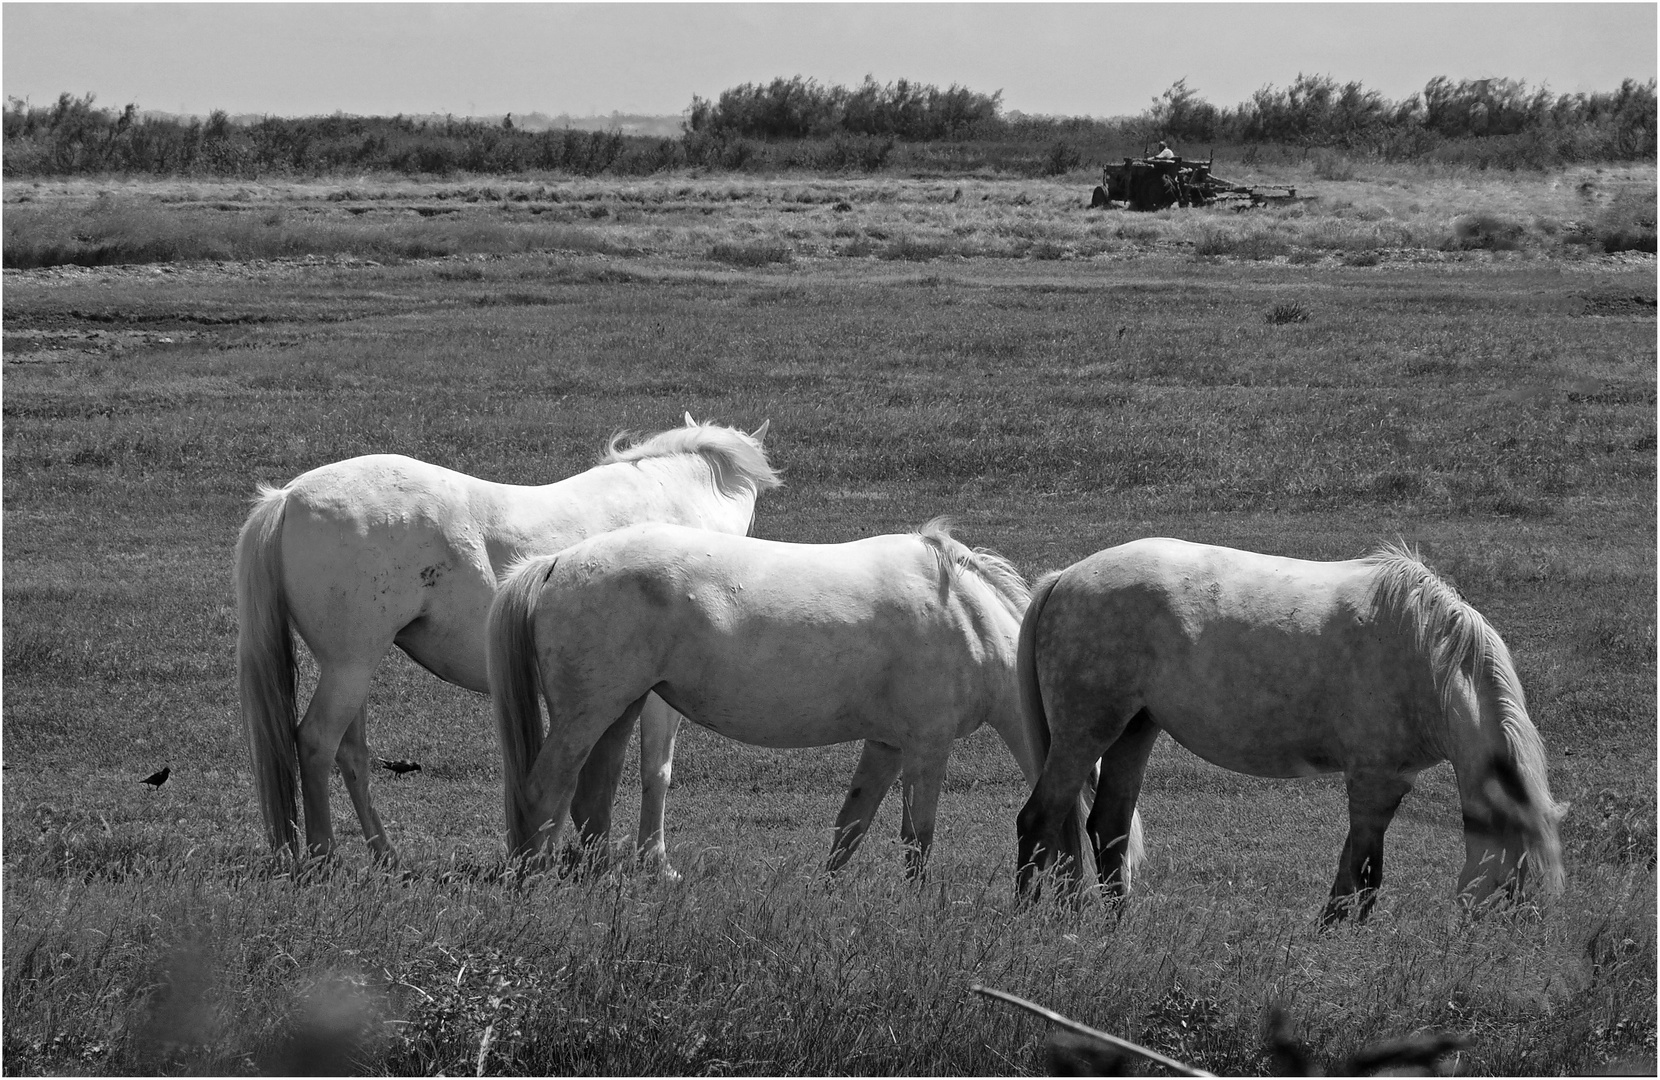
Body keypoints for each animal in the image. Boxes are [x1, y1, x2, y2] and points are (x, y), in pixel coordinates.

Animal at [232, 414, 776, 862]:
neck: (669, 503)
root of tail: (289, 497)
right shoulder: (656, 696)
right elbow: (654, 772)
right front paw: (656, 861)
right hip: (351, 666)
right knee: (316, 743)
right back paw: (324, 856)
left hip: (351, 669)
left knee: (351, 754)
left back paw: (385, 855)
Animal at [488, 520, 1115, 882]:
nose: (1079, 901)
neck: (964, 614)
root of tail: (556, 563)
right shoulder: (926, 746)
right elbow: (918, 839)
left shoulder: (887, 745)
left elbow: (851, 827)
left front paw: (828, 895)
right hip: (587, 715)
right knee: (546, 791)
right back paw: (534, 880)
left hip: (620, 712)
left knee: (590, 800)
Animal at [1009, 537, 1567, 922]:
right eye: (1515, 879)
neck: (1425, 652)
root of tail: (1064, 577)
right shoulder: (1372, 781)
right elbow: (1362, 877)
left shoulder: (1389, 784)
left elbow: (1354, 873)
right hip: (1086, 734)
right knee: (1039, 819)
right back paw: (1025, 924)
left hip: (1133, 731)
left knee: (1107, 829)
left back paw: (1119, 930)